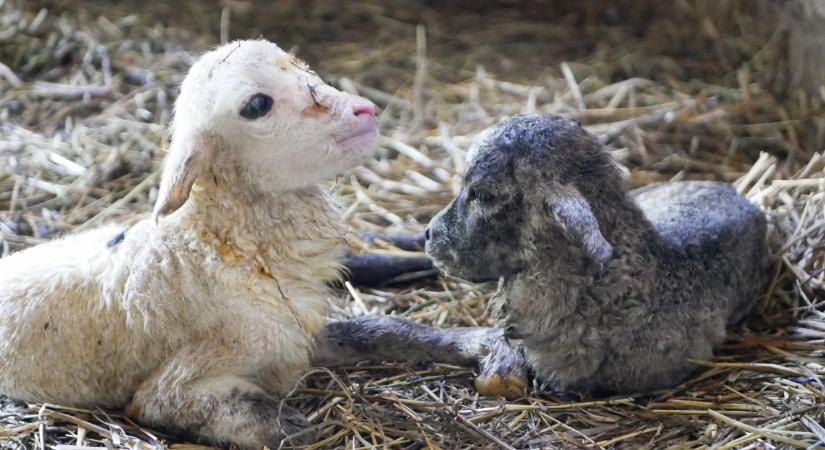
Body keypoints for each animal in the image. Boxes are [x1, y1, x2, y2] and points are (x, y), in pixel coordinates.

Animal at [0, 40, 378, 448]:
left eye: (303, 68)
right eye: (257, 105)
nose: (366, 110)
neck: (222, 245)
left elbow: (365, 333)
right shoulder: (193, 370)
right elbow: (198, 407)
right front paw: (293, 425)